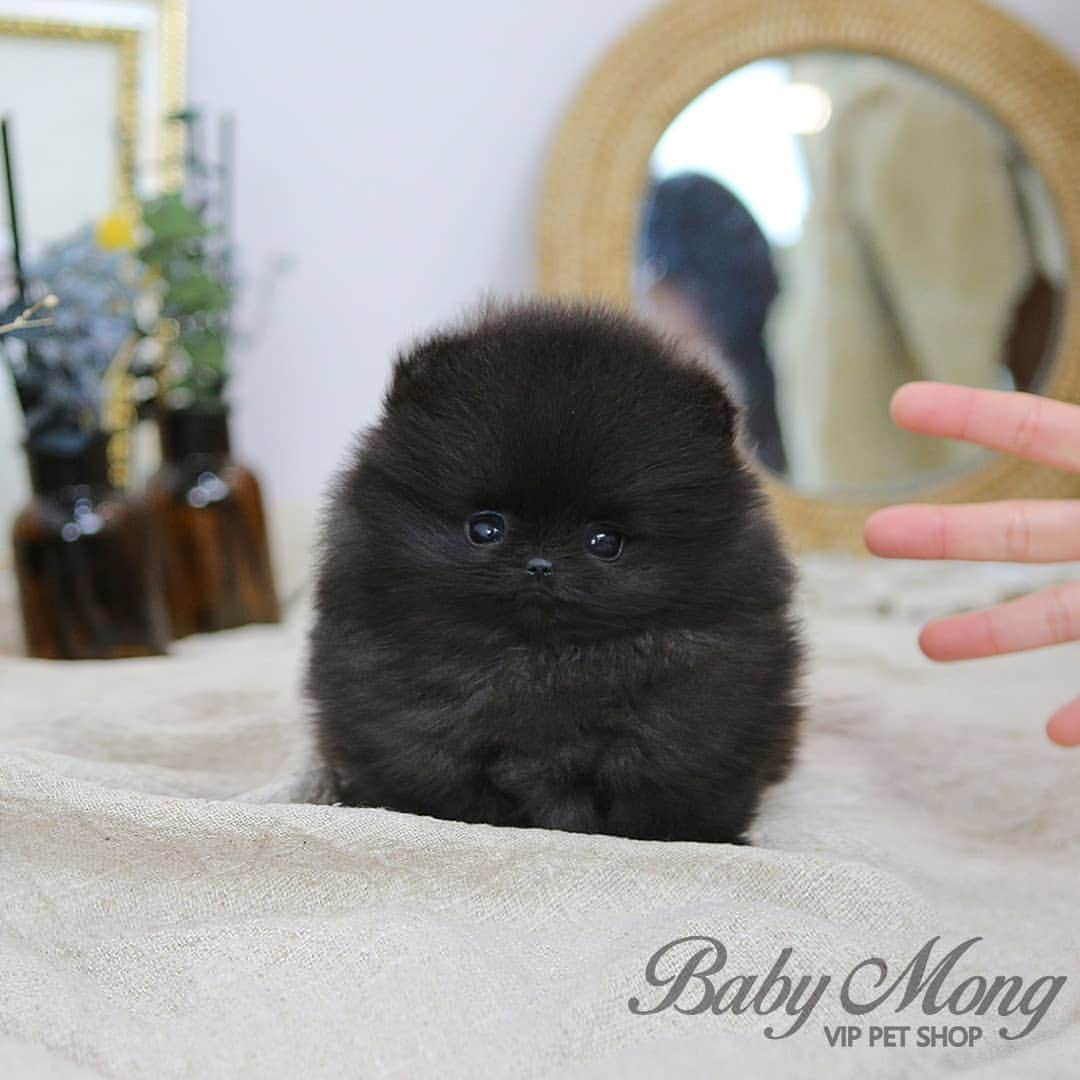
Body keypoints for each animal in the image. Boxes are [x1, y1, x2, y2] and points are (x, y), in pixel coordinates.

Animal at [304, 300, 803, 838]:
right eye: (485, 529)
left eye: (605, 542)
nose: (540, 565)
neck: (541, 662)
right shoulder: (408, 733)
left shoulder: (692, 735)